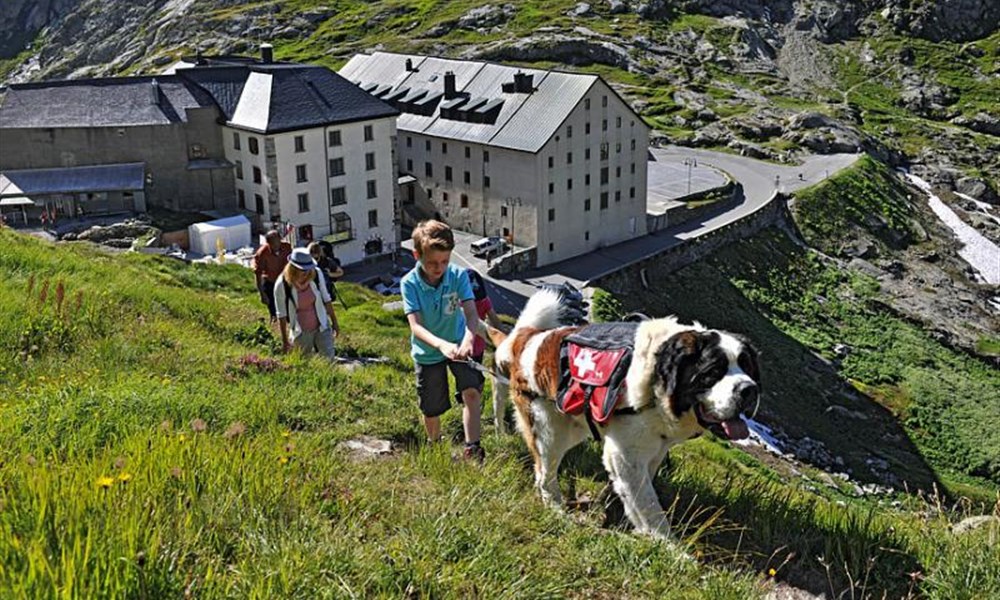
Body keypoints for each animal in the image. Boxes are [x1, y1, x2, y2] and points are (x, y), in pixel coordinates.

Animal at [484, 288, 756, 540]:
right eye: (713, 372)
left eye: (748, 367)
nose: (749, 389)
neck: (658, 383)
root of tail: (528, 339)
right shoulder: (626, 454)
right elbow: (649, 506)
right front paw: (669, 547)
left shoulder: (654, 449)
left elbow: (634, 494)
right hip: (549, 428)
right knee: (545, 473)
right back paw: (556, 509)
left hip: (573, 425)